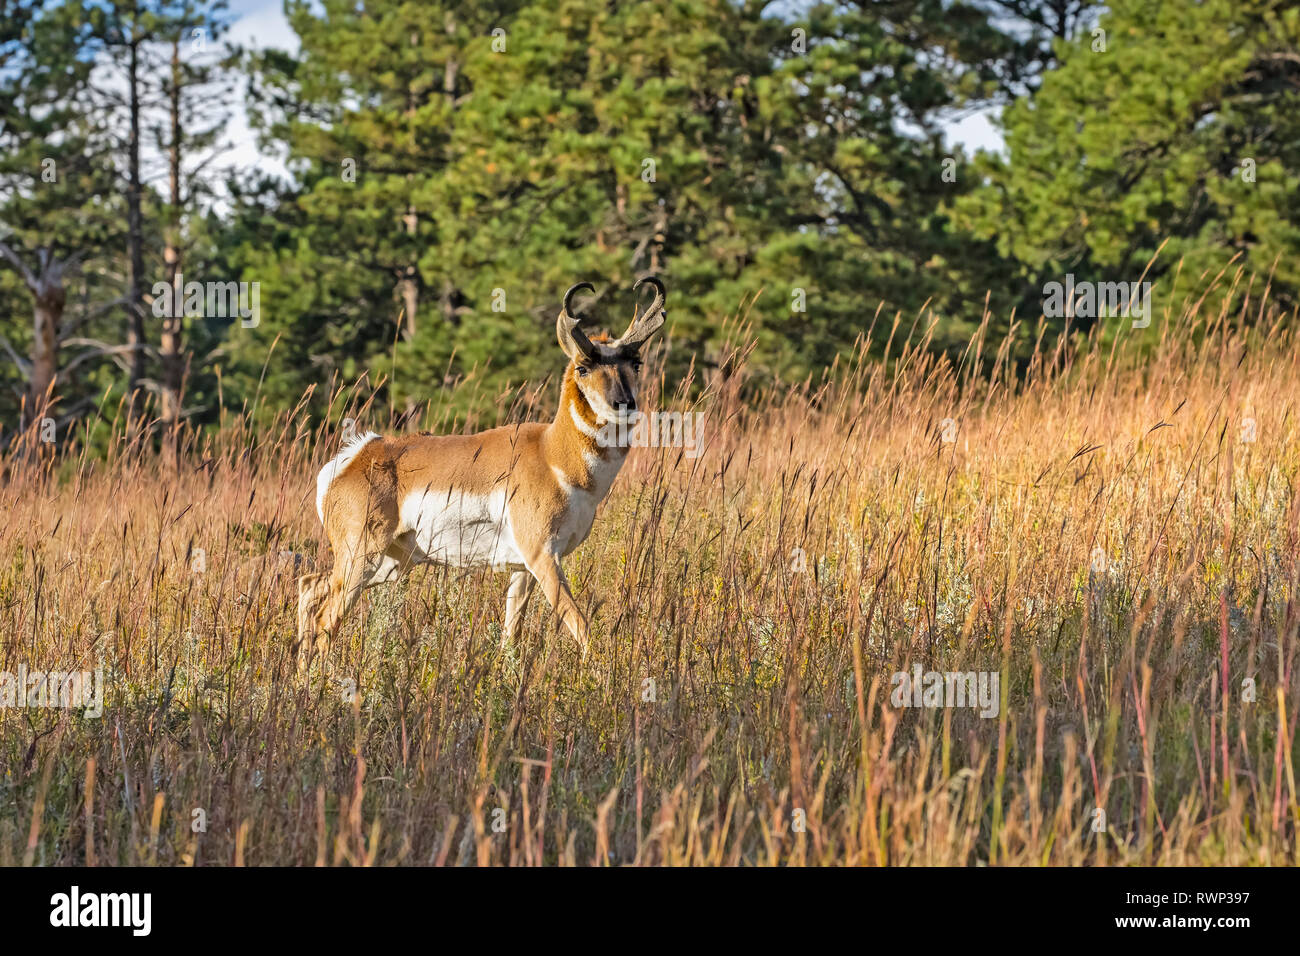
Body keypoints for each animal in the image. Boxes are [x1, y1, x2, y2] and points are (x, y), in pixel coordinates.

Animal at [292, 274, 660, 665]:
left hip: (388, 564)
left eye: (636, 363)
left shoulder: (524, 569)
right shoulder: (543, 557)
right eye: (583, 366)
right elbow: (580, 624)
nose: (624, 403)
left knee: (309, 587)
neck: (552, 454)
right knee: (325, 620)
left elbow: (510, 637)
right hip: (361, 558)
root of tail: (357, 455)